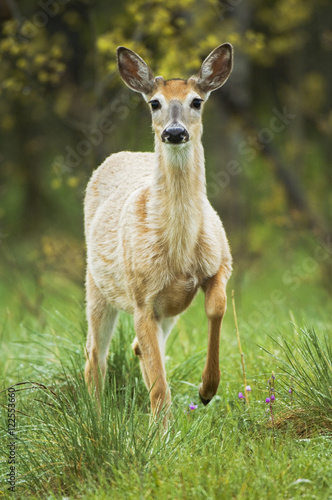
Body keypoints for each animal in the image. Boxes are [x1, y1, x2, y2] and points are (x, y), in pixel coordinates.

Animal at [83, 43, 233, 424]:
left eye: (197, 101)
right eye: (154, 102)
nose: (175, 132)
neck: (179, 250)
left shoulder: (222, 261)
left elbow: (217, 307)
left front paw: (207, 389)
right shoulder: (141, 297)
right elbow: (158, 384)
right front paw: (162, 431)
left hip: (166, 311)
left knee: (138, 349)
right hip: (97, 283)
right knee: (95, 353)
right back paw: (97, 419)